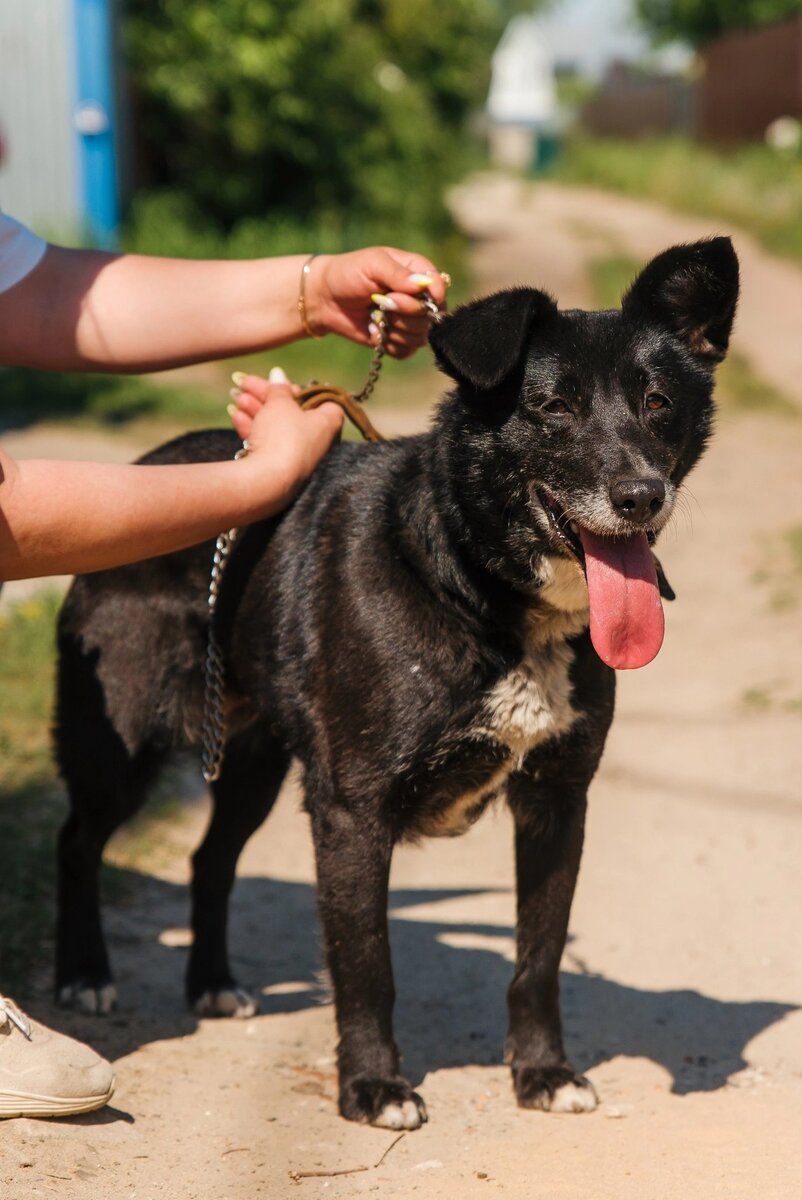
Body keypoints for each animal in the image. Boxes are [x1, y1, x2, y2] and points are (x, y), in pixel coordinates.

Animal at [53, 238, 739, 1129]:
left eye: (658, 402)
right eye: (553, 407)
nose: (640, 497)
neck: (472, 581)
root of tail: (149, 464)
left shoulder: (558, 801)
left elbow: (539, 957)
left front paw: (543, 1072)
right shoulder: (352, 811)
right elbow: (367, 965)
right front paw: (374, 1086)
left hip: (254, 761)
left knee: (210, 858)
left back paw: (212, 983)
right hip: (121, 745)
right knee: (78, 841)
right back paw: (83, 974)